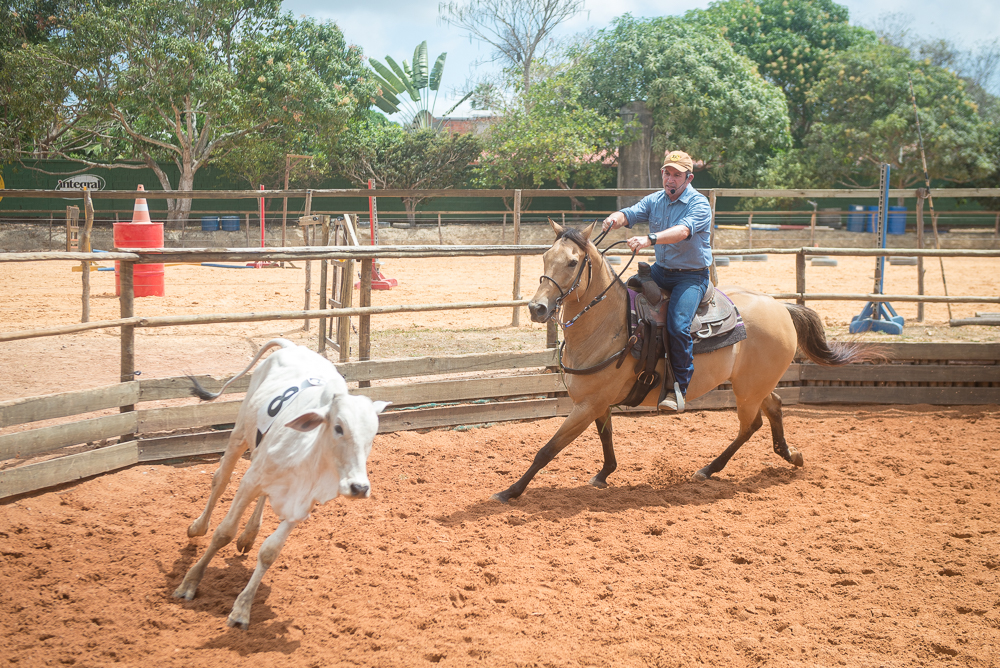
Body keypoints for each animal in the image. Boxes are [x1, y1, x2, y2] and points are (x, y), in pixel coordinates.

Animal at [174, 342, 388, 628]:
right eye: (338, 427)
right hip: (240, 433)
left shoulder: (300, 508)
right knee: (220, 479)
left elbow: (269, 553)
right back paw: (198, 527)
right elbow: (223, 533)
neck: (307, 461)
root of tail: (292, 345)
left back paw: (249, 534)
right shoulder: (250, 481)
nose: (359, 487)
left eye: (372, 434)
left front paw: (242, 610)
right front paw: (190, 582)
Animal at [492, 222, 884, 504]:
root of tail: (781, 307)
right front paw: (604, 474)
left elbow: (547, 450)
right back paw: (787, 455)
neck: (610, 324)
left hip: (748, 389)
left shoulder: (587, 405)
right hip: (755, 384)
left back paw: (711, 468)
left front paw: (510, 492)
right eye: (545, 257)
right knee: (773, 408)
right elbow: (607, 438)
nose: (537, 308)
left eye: (573, 262)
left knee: (752, 423)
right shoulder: (596, 404)